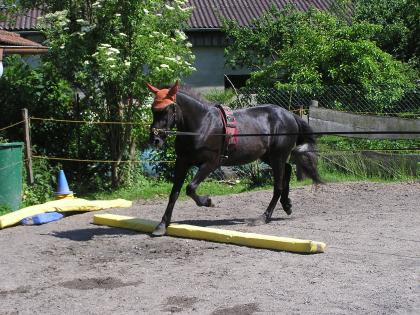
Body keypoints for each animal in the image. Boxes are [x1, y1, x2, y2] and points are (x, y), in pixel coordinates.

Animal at [145, 81, 322, 237]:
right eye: (153, 110)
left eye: (167, 110)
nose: (155, 139)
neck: (202, 125)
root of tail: (290, 115)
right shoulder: (182, 162)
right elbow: (174, 193)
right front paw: (162, 225)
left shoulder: (211, 163)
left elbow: (190, 188)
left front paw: (208, 201)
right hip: (268, 156)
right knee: (287, 169)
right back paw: (287, 205)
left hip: (277, 156)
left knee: (278, 185)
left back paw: (264, 217)